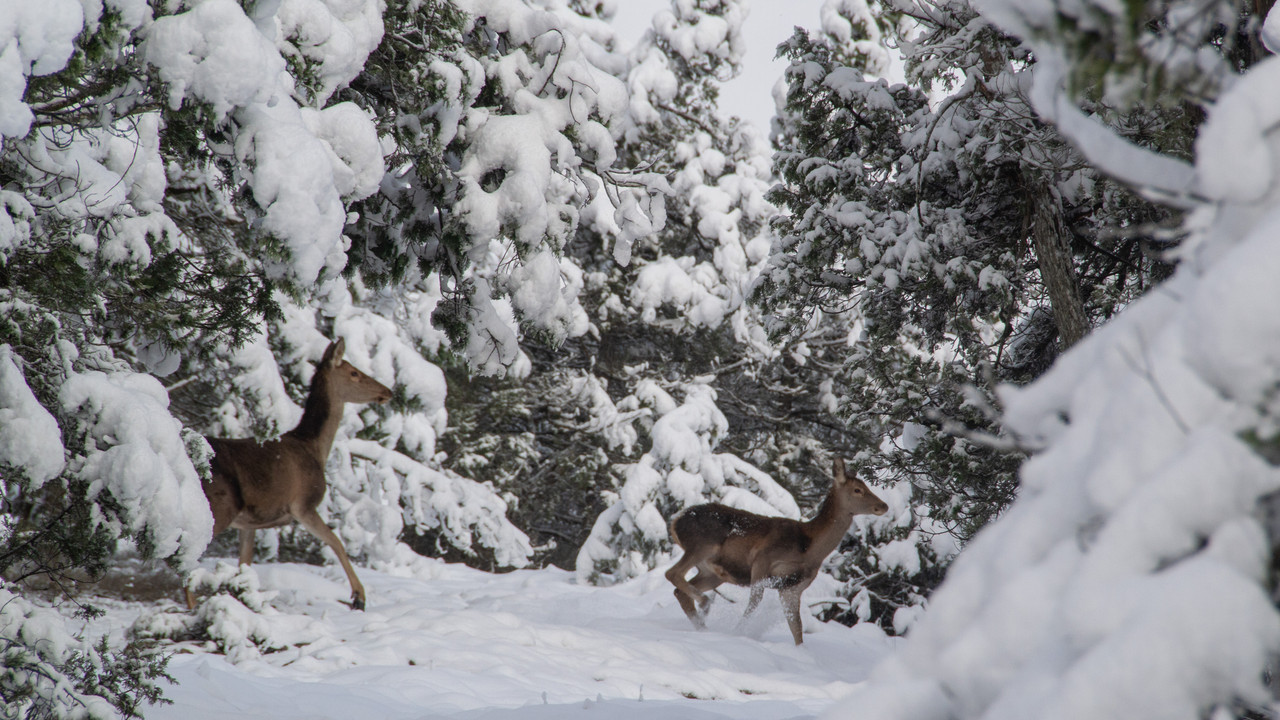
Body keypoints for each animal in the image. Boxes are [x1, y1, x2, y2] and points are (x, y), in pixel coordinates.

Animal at [186, 338, 391, 607]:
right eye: (354, 373)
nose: (387, 391)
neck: (314, 448)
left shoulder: (250, 522)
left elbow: (245, 564)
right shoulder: (303, 504)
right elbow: (336, 542)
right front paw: (359, 596)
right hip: (219, 507)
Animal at [665, 458, 885, 645]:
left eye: (866, 486)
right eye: (858, 489)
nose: (883, 505)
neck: (809, 549)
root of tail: (675, 522)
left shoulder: (792, 587)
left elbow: (796, 627)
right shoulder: (762, 561)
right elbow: (753, 606)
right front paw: (738, 632)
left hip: (713, 573)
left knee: (680, 590)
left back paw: (703, 625)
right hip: (702, 545)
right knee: (672, 573)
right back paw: (705, 605)